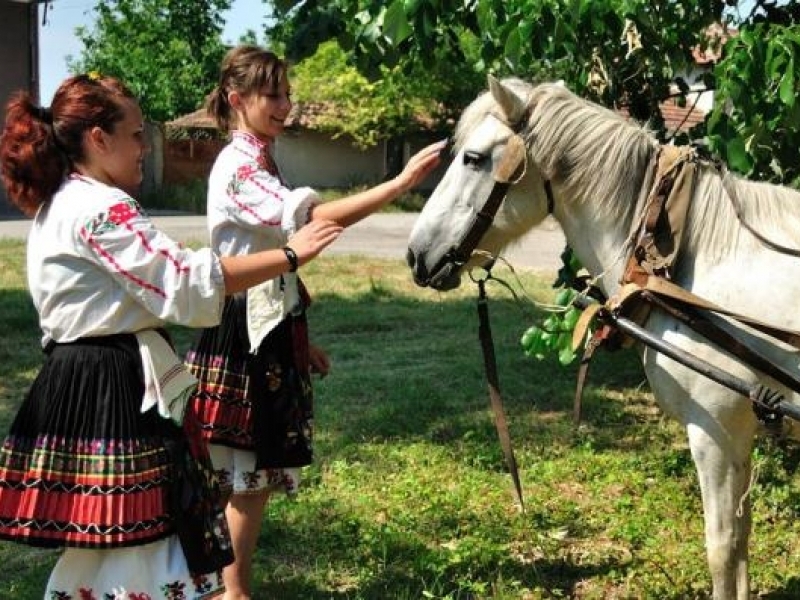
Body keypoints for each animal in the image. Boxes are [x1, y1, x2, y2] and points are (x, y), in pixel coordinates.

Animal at [410, 76, 800, 600]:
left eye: (473, 158)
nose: (416, 255)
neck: (696, 257)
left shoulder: (716, 428)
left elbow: (722, 547)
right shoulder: (737, 431)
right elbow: (740, 543)